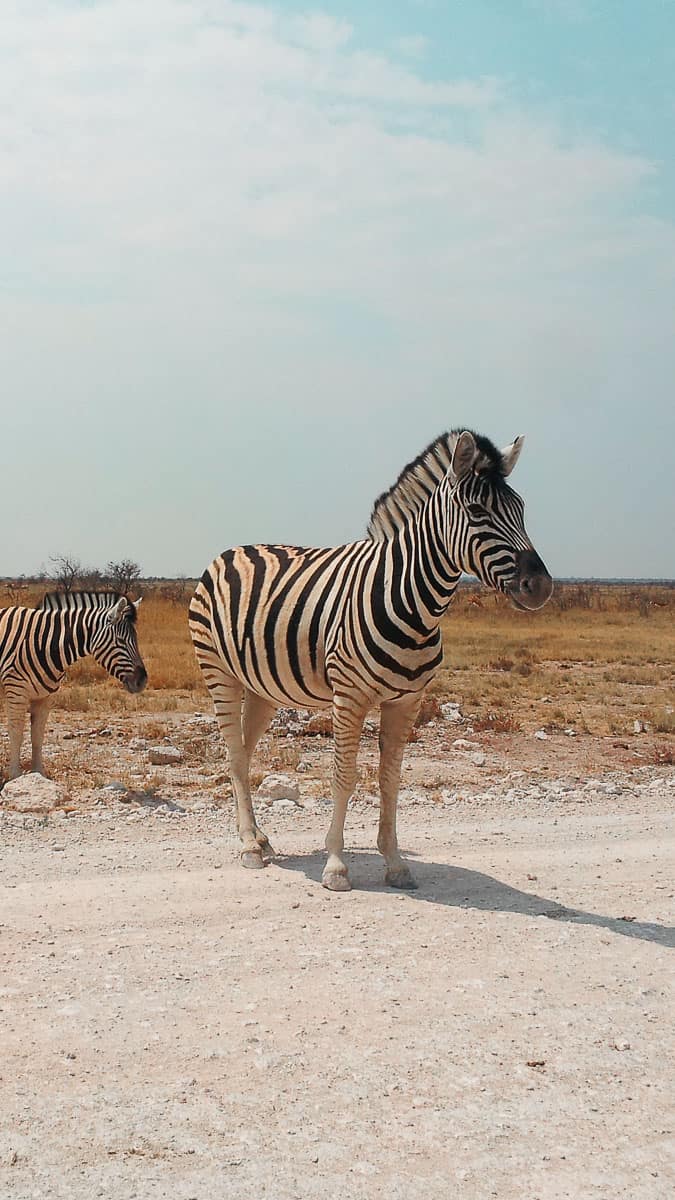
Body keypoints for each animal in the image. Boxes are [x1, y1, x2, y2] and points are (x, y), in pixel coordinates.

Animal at [0, 588, 145, 777]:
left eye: (136, 639)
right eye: (120, 641)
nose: (143, 681)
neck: (43, 643)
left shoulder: (45, 696)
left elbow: (37, 735)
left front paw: (39, 774)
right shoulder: (17, 691)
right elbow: (16, 733)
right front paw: (15, 777)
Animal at [186, 432, 550, 892]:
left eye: (521, 510)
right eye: (476, 511)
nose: (541, 586)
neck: (412, 600)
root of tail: (230, 551)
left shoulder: (407, 701)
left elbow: (390, 780)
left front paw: (395, 863)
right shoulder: (349, 696)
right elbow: (344, 776)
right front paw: (336, 866)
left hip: (262, 686)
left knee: (245, 754)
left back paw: (259, 837)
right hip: (219, 671)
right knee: (234, 754)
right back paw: (250, 846)